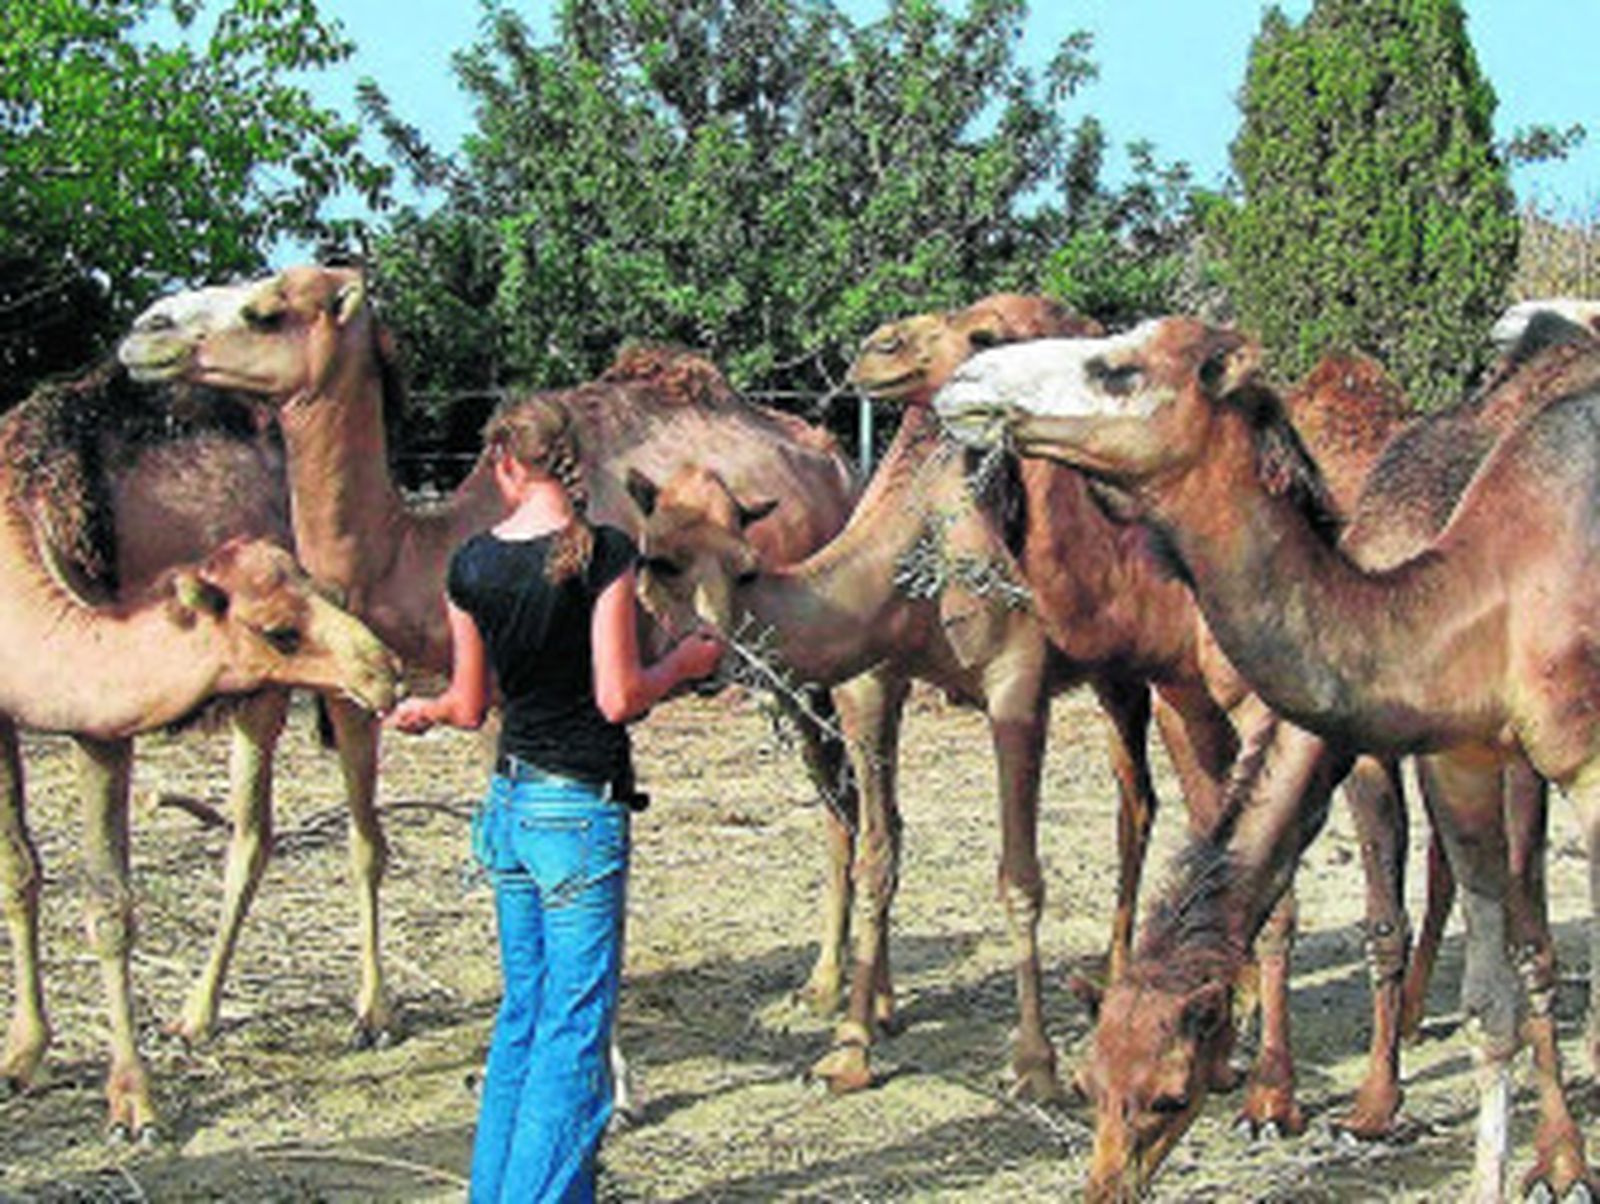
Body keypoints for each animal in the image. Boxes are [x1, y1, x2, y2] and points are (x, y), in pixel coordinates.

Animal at [0, 369, 399, 1136]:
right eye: (277, 629)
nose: (383, 666)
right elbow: (18, 872)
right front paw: (22, 1055)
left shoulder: (101, 714)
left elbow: (110, 905)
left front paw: (132, 1100)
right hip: (257, 694)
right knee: (252, 833)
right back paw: (196, 1015)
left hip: (337, 683)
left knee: (363, 836)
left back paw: (373, 1011)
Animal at [116, 264, 863, 1072]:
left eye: (267, 309)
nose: (145, 329)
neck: (421, 552)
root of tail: (839, 464)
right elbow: (375, 843)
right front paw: (228, 1018)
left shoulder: (522, 705)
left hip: (810, 669)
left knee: (842, 798)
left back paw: (830, 985)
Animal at [935, 314, 1600, 1201]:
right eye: (1088, 1083)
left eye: (1120, 370)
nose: (966, 382)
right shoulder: (1456, 752)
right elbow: (1489, 1007)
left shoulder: (1576, 766)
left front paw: (1560, 1162)